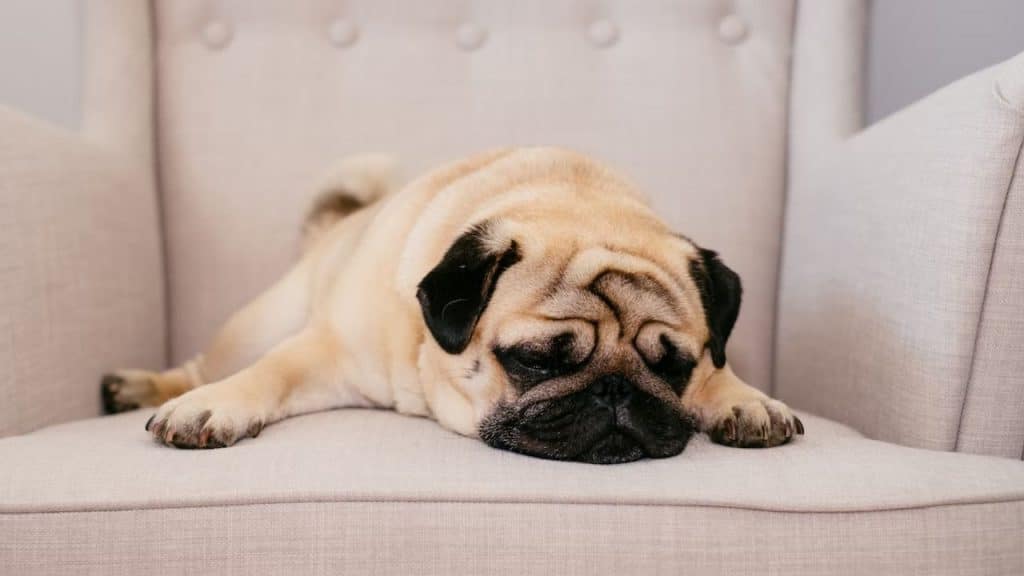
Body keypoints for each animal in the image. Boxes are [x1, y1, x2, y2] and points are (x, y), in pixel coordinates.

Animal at [105, 146, 806, 461]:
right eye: (536, 360)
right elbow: (269, 373)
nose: (615, 391)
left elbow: (724, 370)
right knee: (211, 362)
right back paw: (142, 386)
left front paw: (743, 398)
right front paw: (212, 406)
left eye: (673, 366)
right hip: (260, 322)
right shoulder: (325, 350)